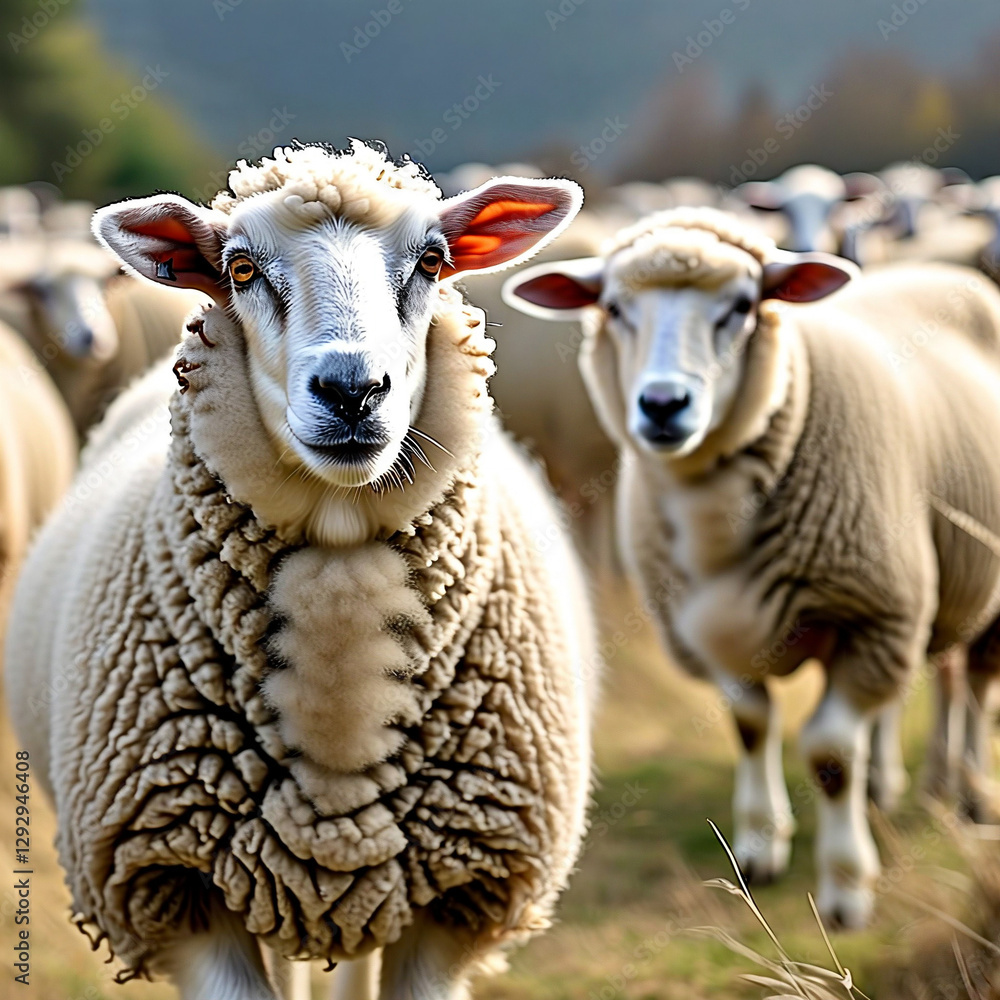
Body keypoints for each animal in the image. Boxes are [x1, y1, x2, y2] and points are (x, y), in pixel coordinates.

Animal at [503, 206, 1000, 929]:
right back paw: (898, 782)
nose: (662, 405)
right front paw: (762, 848)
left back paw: (970, 789)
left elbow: (829, 753)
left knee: (976, 685)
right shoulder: (703, 628)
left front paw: (845, 890)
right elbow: (751, 725)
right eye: (615, 308)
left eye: (741, 306)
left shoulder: (875, 616)